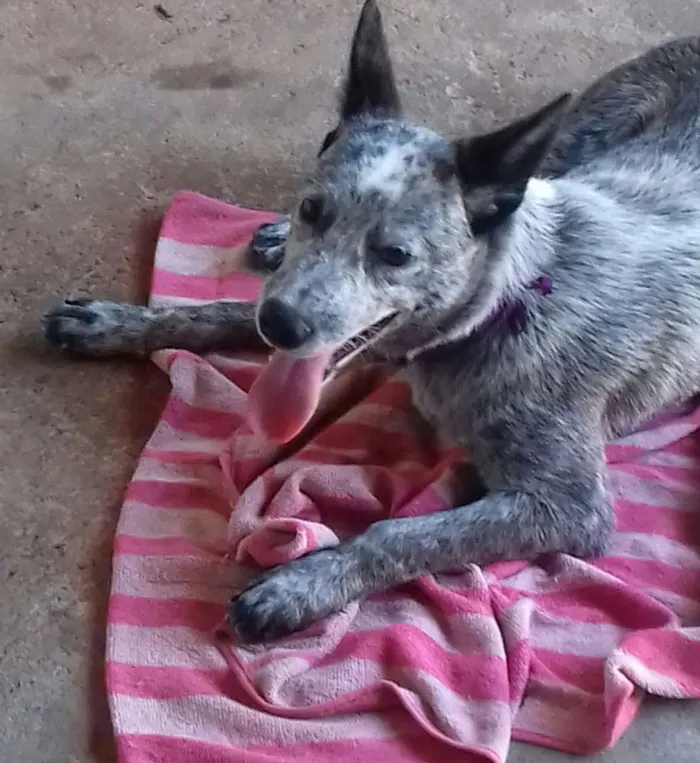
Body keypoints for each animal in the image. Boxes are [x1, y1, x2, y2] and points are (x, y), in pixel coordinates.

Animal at [42, 1, 700, 644]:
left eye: (395, 255)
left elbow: (402, 534)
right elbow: (220, 312)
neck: (508, 301)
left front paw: (301, 587)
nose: (280, 325)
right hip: (583, 130)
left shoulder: (568, 506)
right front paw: (118, 323)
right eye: (313, 209)